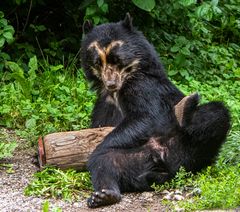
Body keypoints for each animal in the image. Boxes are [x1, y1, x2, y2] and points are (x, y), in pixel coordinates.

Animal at [80, 13, 231, 209]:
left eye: (117, 60)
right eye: (97, 62)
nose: (111, 83)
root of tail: (166, 163)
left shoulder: (145, 87)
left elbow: (146, 116)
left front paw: (104, 142)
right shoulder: (104, 102)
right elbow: (100, 124)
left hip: (190, 143)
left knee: (215, 114)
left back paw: (185, 109)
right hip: (133, 160)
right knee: (104, 163)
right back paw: (104, 196)